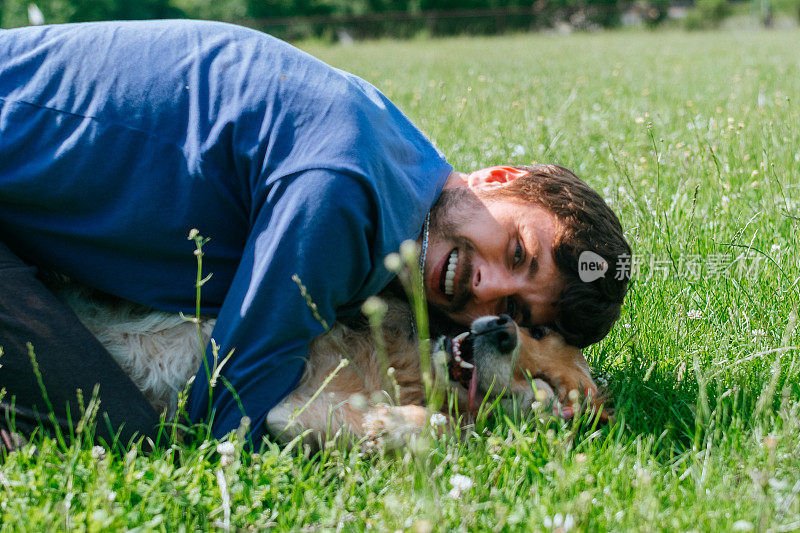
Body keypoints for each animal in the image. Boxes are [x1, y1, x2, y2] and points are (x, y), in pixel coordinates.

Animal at [50, 278, 604, 448]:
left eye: (542, 386)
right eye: (537, 329)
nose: (503, 329)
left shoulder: (282, 413)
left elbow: (439, 425)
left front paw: (394, 427)